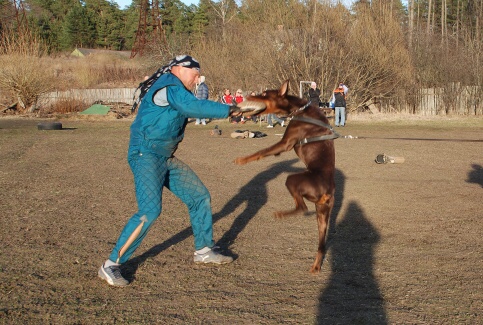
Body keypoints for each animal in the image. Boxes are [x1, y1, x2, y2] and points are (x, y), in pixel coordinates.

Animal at [236, 79, 338, 272]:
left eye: (264, 94)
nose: (247, 96)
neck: (300, 109)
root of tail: (327, 193)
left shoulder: (285, 143)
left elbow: (261, 152)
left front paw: (242, 160)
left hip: (293, 180)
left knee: (302, 207)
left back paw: (280, 214)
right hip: (322, 215)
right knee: (321, 243)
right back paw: (316, 266)